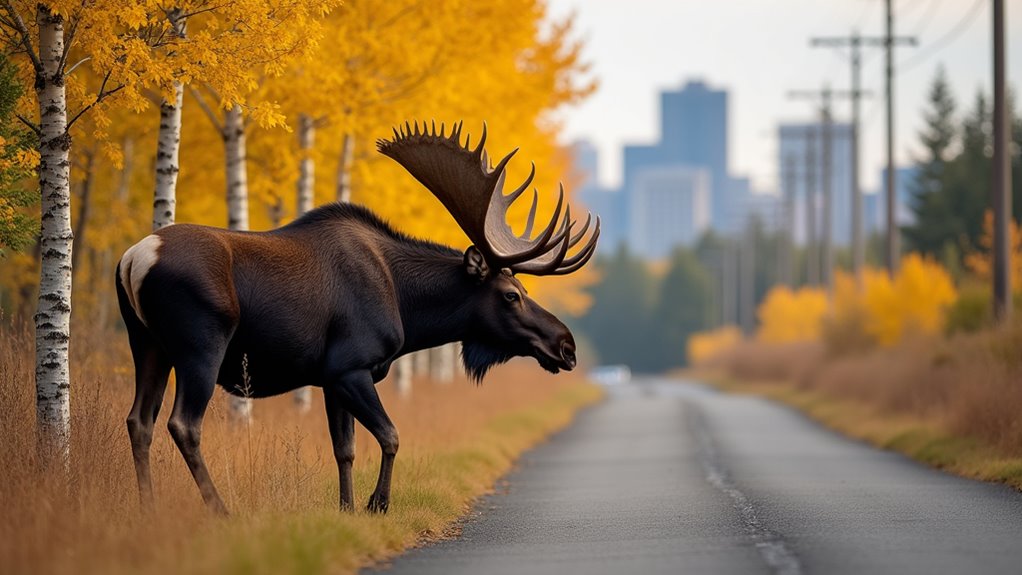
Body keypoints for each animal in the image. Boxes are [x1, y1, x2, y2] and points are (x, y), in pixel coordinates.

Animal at [116, 121, 599, 514]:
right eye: (511, 295)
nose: (566, 345)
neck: (405, 306)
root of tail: (133, 259)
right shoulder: (351, 367)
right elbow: (391, 435)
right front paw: (377, 503)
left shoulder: (330, 378)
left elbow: (344, 449)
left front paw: (346, 508)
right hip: (201, 345)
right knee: (183, 423)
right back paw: (219, 510)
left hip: (147, 344)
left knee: (139, 421)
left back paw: (148, 509)